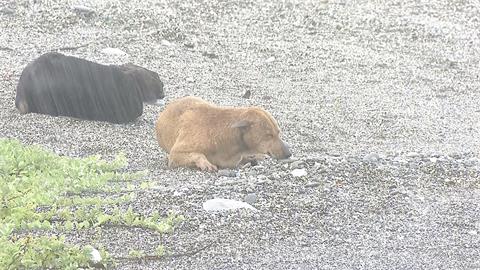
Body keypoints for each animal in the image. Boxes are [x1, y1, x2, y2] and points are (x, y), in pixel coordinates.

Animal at [156, 97, 290, 171]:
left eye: (278, 132)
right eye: (269, 135)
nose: (288, 153)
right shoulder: (178, 151)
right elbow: (190, 154)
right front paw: (206, 164)